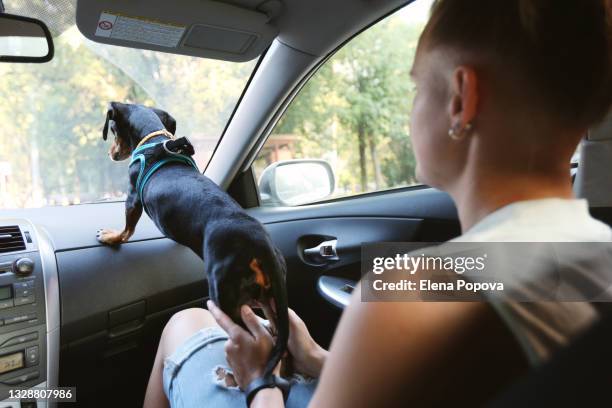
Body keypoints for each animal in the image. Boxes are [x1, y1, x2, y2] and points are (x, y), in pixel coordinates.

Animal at [98, 102, 290, 380]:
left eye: (112, 130)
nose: (111, 154)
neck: (154, 140)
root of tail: (260, 245)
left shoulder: (133, 198)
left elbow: (127, 229)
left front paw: (111, 237)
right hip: (267, 295)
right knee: (277, 332)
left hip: (225, 298)